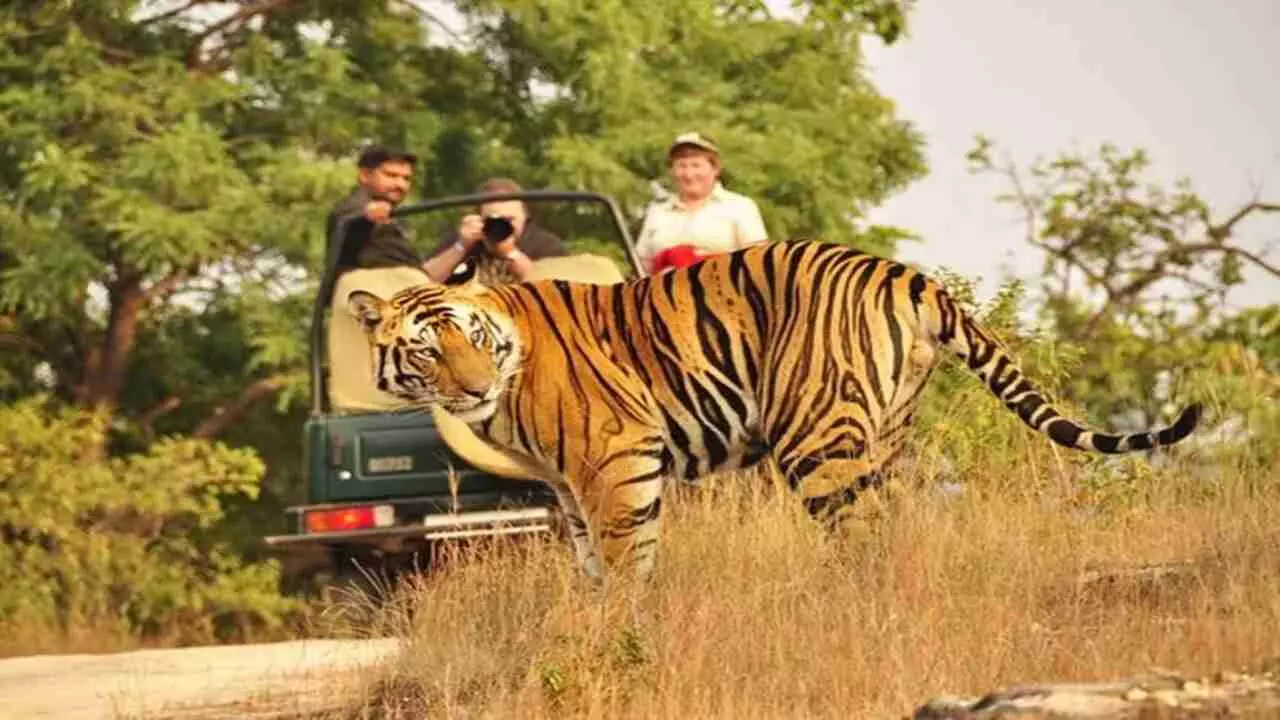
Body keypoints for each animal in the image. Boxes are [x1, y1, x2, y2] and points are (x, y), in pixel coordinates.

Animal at [345, 238, 1203, 579]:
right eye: (426, 351)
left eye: (470, 339)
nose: (471, 390)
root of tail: (905, 273)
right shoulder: (569, 488)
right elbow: (591, 566)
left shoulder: (617, 462)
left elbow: (626, 563)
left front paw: (622, 635)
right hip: (884, 434)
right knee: (896, 526)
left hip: (817, 440)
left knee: (862, 536)